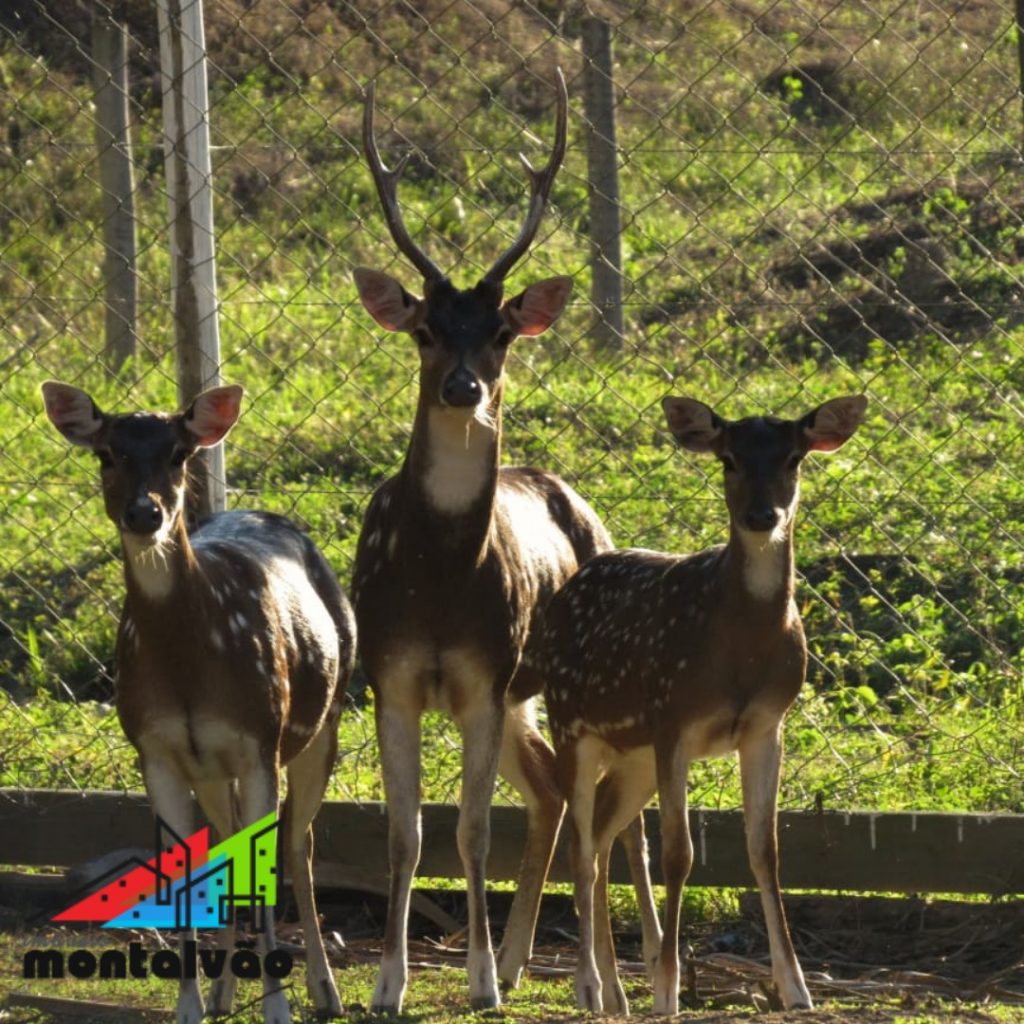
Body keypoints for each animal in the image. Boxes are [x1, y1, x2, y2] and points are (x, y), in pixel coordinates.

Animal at [41, 382, 356, 1024]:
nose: (145, 513)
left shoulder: (260, 741)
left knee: (301, 846)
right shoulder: (156, 750)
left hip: (322, 723)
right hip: (215, 769)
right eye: (106, 453)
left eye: (179, 453)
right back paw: (223, 993)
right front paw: (190, 1004)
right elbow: (188, 871)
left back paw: (324, 989)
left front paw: (278, 1008)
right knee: (232, 841)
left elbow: (268, 866)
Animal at [348, 74, 659, 1015]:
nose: (464, 387)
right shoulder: (392, 676)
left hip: (558, 685)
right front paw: (390, 983)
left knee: (607, 820)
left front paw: (479, 980)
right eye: (423, 329)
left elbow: (474, 829)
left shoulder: (485, 677)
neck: (438, 581)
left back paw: (609, 978)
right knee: (557, 797)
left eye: (501, 331)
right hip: (530, 698)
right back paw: (532, 961)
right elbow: (407, 834)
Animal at [536, 391, 864, 1015]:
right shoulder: (675, 720)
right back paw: (589, 986)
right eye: (728, 459)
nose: (762, 517)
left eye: (794, 457)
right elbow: (679, 854)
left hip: (633, 754)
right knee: (579, 843)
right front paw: (667, 992)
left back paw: (616, 992)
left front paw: (797, 988)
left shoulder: (766, 726)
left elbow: (766, 850)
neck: (740, 648)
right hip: (571, 723)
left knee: (605, 835)